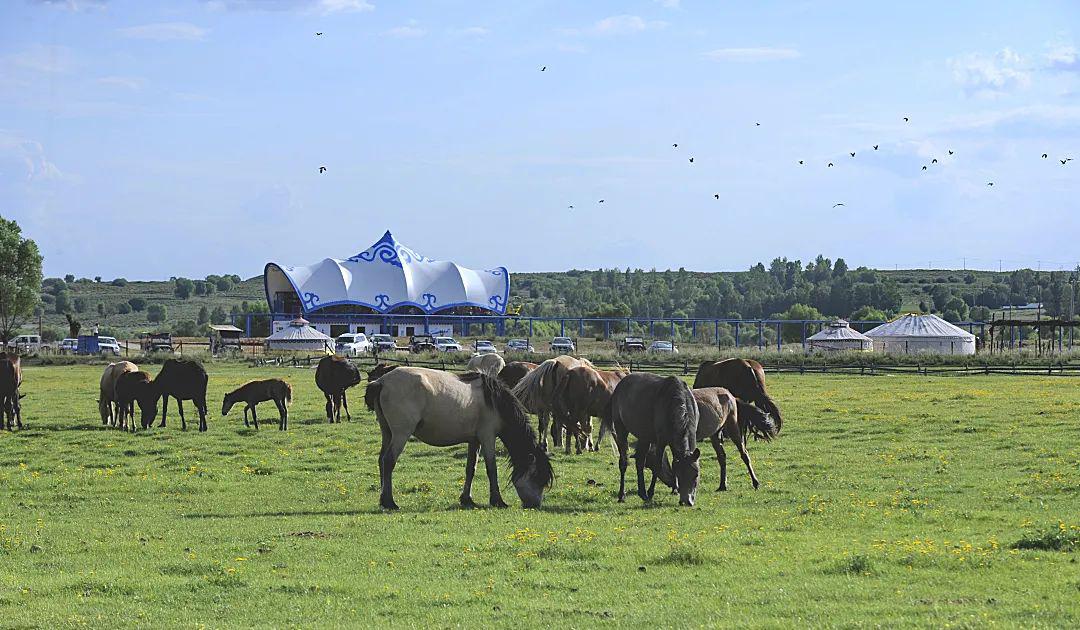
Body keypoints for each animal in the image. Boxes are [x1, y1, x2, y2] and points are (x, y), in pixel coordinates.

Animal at [365, 367, 552, 510]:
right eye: (536, 476)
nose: (535, 505)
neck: (494, 400)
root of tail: (381, 382)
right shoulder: (487, 437)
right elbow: (491, 469)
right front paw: (497, 500)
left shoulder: (474, 440)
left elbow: (471, 469)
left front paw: (467, 499)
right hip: (401, 434)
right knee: (389, 461)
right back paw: (389, 501)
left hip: (387, 433)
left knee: (381, 460)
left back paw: (383, 498)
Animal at [600, 373, 699, 507]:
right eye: (680, 474)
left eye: (696, 474)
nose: (687, 501)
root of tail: (620, 385)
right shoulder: (661, 441)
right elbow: (657, 466)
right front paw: (651, 492)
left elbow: (674, 462)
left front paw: (675, 489)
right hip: (621, 430)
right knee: (624, 462)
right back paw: (622, 495)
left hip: (644, 437)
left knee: (640, 462)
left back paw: (642, 492)